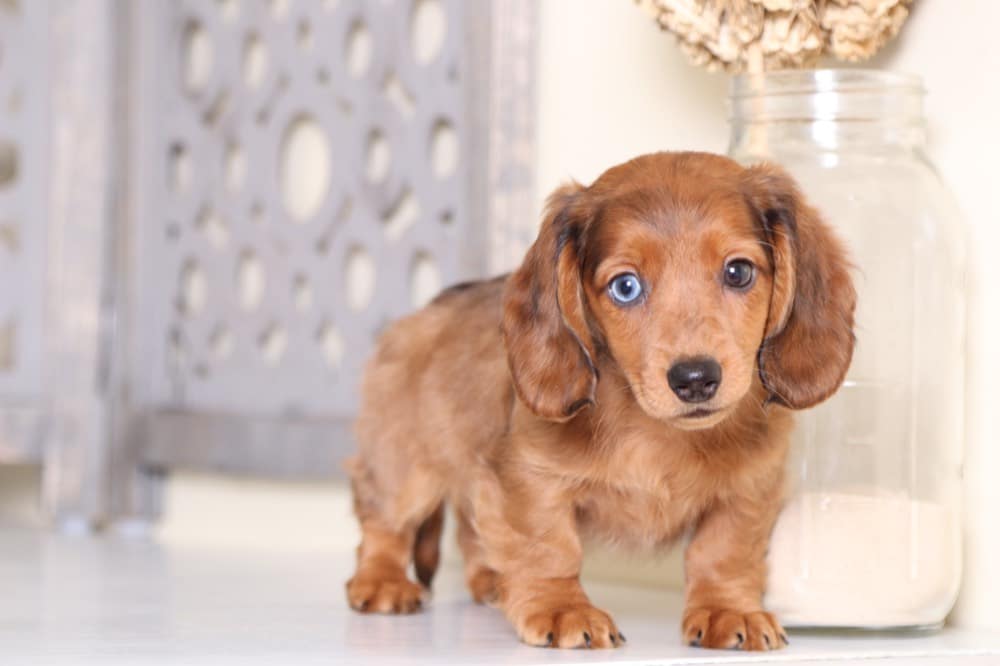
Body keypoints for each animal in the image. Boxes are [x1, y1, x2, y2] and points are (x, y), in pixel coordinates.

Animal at [348, 150, 856, 648]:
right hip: (403, 467)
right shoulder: (529, 476)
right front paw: (561, 608)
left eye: (738, 271)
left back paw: (494, 582)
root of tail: (423, 313)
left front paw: (729, 610)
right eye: (625, 286)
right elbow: (549, 546)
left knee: (474, 530)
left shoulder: (749, 486)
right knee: (384, 523)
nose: (695, 379)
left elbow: (724, 550)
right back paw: (382, 581)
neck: (654, 431)